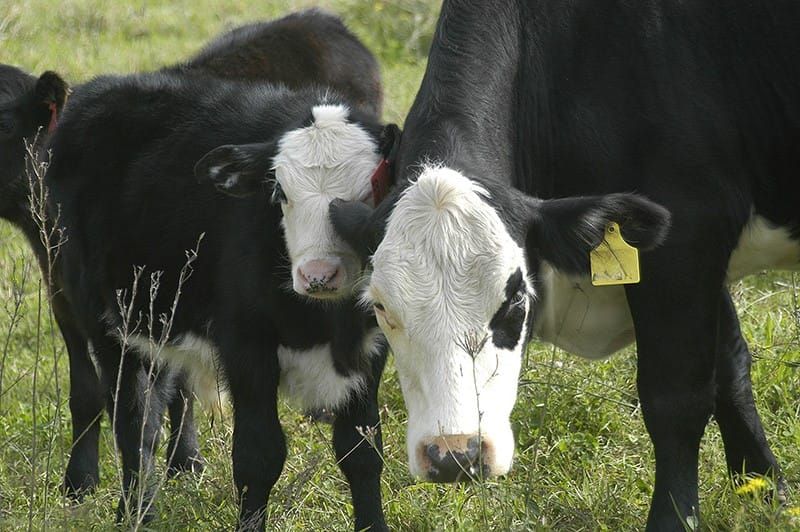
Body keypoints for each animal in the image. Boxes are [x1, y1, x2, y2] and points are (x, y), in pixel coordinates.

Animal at [0, 7, 383, 510]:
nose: (319, 274)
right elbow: (97, 394)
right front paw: (82, 481)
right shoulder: (80, 301)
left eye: (5, 129)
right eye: (279, 191)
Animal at [330, 0, 799, 530]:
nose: (454, 455)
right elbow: (731, 368)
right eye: (381, 308)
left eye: (515, 301)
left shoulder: (687, 235)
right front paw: (767, 490)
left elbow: (678, 398)